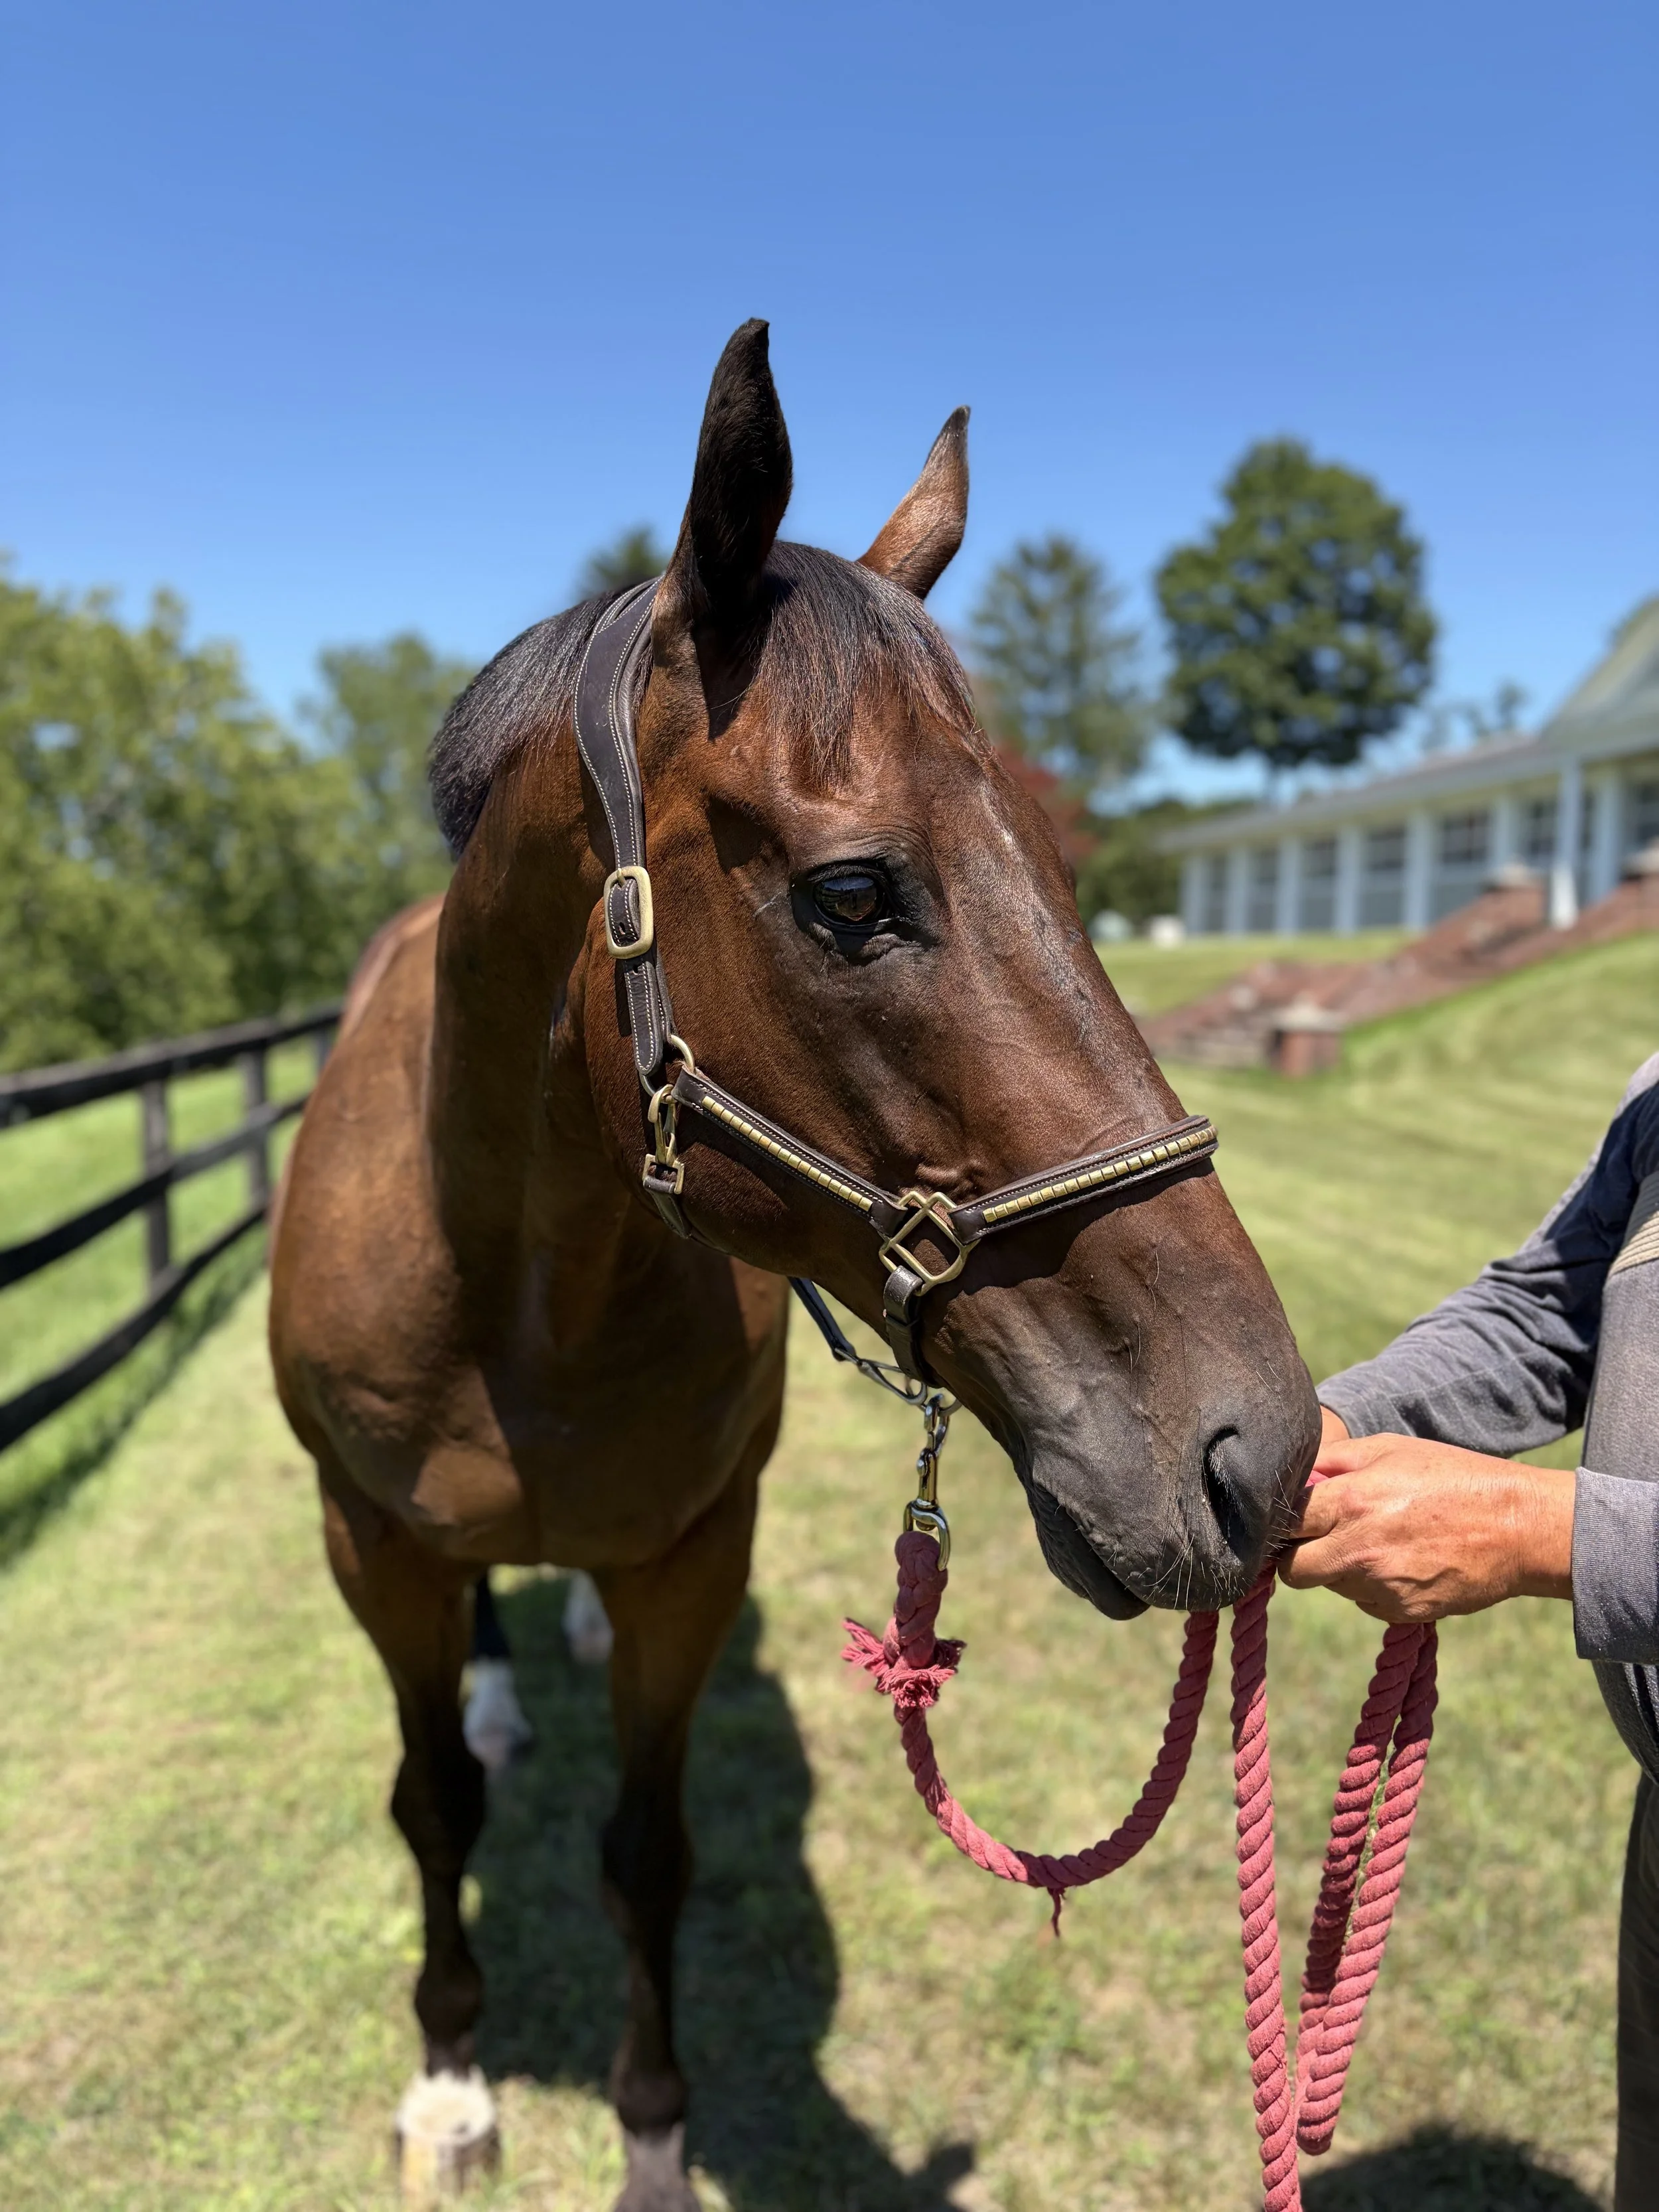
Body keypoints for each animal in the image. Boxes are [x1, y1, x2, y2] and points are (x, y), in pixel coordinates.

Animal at [268, 320, 1320, 2209]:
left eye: (1068, 868)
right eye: (849, 893)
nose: (1252, 1451)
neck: (519, 1289)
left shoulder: (694, 1556)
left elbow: (648, 1850)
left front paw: (652, 2133)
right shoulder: (369, 1543)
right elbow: (434, 1806)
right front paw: (452, 2078)